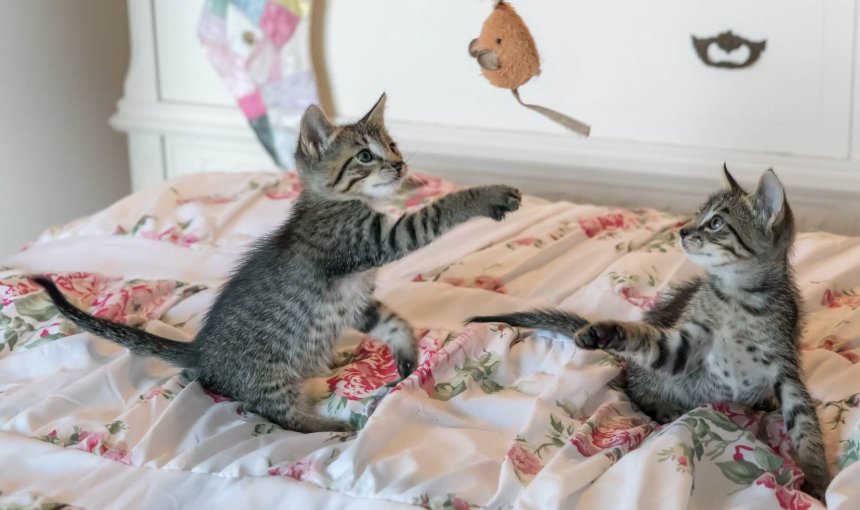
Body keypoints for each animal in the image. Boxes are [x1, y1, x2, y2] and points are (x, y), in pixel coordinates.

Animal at [470, 167, 832, 498]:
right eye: (698, 214)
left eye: (716, 223)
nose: (683, 230)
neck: (738, 298)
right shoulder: (683, 347)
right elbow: (644, 340)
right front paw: (602, 331)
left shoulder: (786, 370)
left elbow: (805, 424)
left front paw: (817, 478)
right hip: (655, 377)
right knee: (635, 385)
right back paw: (664, 407)